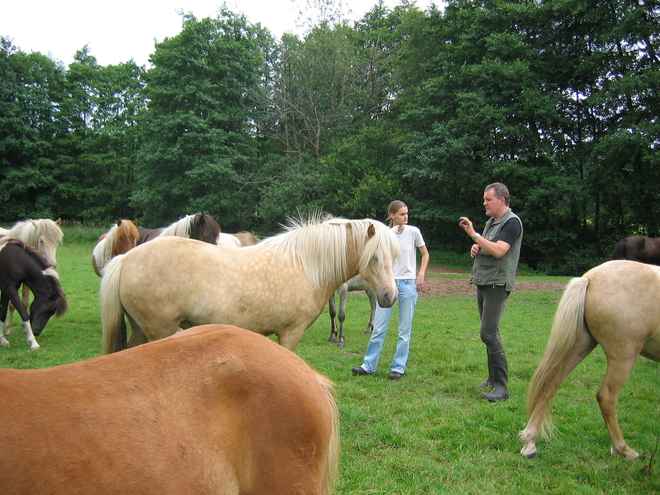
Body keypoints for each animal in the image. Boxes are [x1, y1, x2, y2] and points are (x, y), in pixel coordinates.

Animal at [100, 216, 400, 352]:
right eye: (374, 257)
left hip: (141, 330)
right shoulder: (290, 334)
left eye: (395, 256)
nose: (390, 297)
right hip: (159, 331)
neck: (306, 264)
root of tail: (125, 259)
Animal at [520, 260, 660, 462]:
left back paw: (530, 443)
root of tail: (589, 279)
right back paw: (623, 449)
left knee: (550, 386)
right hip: (624, 355)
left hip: (579, 345)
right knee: (607, 397)